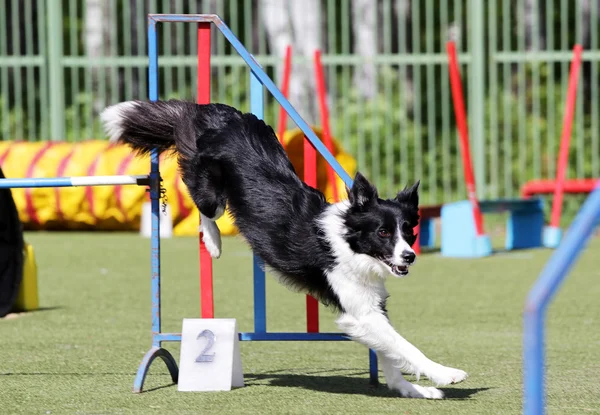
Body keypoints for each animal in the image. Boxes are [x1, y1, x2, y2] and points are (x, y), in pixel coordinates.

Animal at [99, 100, 468, 400]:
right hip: (210, 188)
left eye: (409, 232)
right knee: (202, 204)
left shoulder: (371, 307)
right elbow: (404, 345)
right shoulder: (359, 313)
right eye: (383, 232)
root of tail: (216, 111)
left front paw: (411, 389)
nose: (409, 257)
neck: (349, 242)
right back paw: (213, 242)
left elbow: (391, 353)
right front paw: (445, 374)